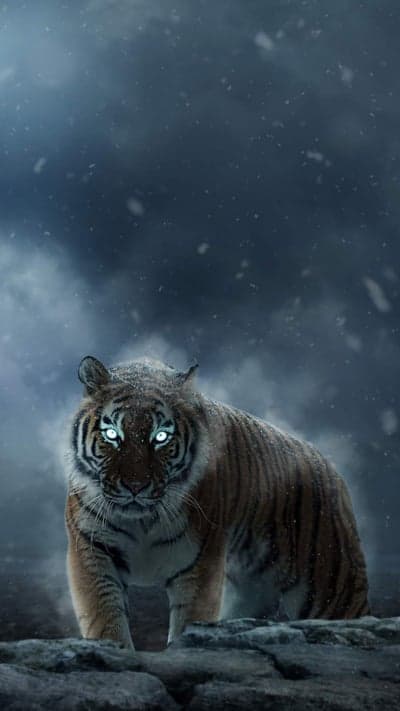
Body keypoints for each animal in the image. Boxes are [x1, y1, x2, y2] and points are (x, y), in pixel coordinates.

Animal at [65, 355, 370, 650]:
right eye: (112, 435)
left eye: (161, 437)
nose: (135, 487)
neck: (143, 520)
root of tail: (328, 464)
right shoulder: (92, 550)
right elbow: (104, 617)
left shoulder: (199, 563)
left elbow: (190, 620)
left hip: (332, 585)